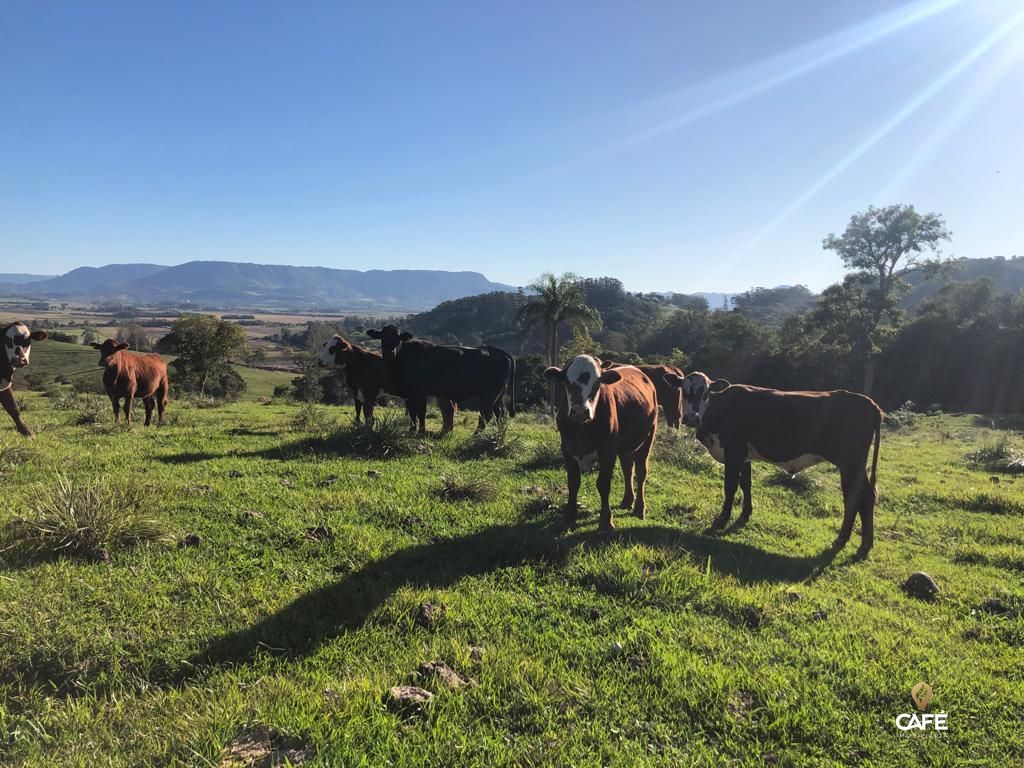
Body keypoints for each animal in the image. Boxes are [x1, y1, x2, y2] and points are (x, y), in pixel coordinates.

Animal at [313, 335, 454, 434]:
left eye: (332, 349)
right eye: (326, 346)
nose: (319, 361)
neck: (359, 363)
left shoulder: (369, 393)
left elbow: (367, 412)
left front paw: (367, 429)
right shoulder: (356, 392)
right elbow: (358, 411)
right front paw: (357, 425)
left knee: (440, 410)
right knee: (447, 409)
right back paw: (445, 431)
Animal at [364, 325, 516, 434]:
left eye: (398, 338)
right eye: (382, 337)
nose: (390, 352)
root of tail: (500, 352)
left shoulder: (420, 392)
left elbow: (420, 412)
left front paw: (421, 432)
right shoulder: (409, 394)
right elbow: (412, 413)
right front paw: (411, 431)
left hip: (489, 394)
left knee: (486, 414)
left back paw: (476, 436)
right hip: (499, 395)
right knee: (501, 413)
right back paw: (498, 433)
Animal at [544, 358, 655, 532]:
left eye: (597, 384)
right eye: (567, 382)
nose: (580, 411)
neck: (581, 429)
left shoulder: (607, 451)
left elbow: (603, 484)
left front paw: (606, 521)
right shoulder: (567, 449)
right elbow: (573, 482)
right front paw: (569, 516)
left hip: (648, 436)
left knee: (641, 471)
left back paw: (639, 508)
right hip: (624, 446)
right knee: (627, 468)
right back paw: (627, 501)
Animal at [663, 370, 880, 557]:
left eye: (706, 393)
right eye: (683, 390)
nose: (691, 418)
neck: (721, 409)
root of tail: (870, 403)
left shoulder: (734, 452)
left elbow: (730, 487)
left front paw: (722, 519)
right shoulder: (744, 456)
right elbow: (746, 484)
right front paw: (745, 514)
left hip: (850, 463)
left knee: (856, 497)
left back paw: (845, 540)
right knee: (865, 497)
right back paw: (862, 544)